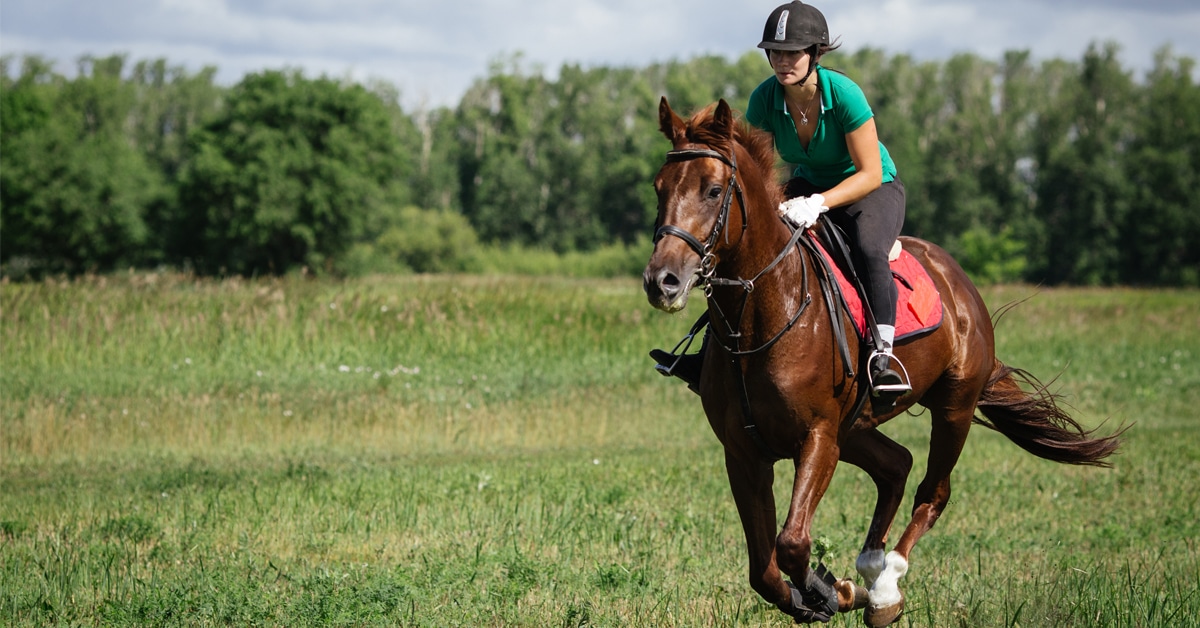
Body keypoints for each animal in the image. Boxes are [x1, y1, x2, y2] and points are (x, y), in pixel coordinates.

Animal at [642, 98, 1123, 626]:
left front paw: (830, 590)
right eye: (659, 188)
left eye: (712, 190)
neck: (763, 317)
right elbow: (763, 570)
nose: (661, 281)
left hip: (952, 408)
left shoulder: (818, 439)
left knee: (933, 493)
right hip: (856, 427)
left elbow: (792, 544)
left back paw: (886, 586)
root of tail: (958, 281)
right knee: (896, 464)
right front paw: (825, 592)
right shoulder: (744, 451)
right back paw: (871, 570)